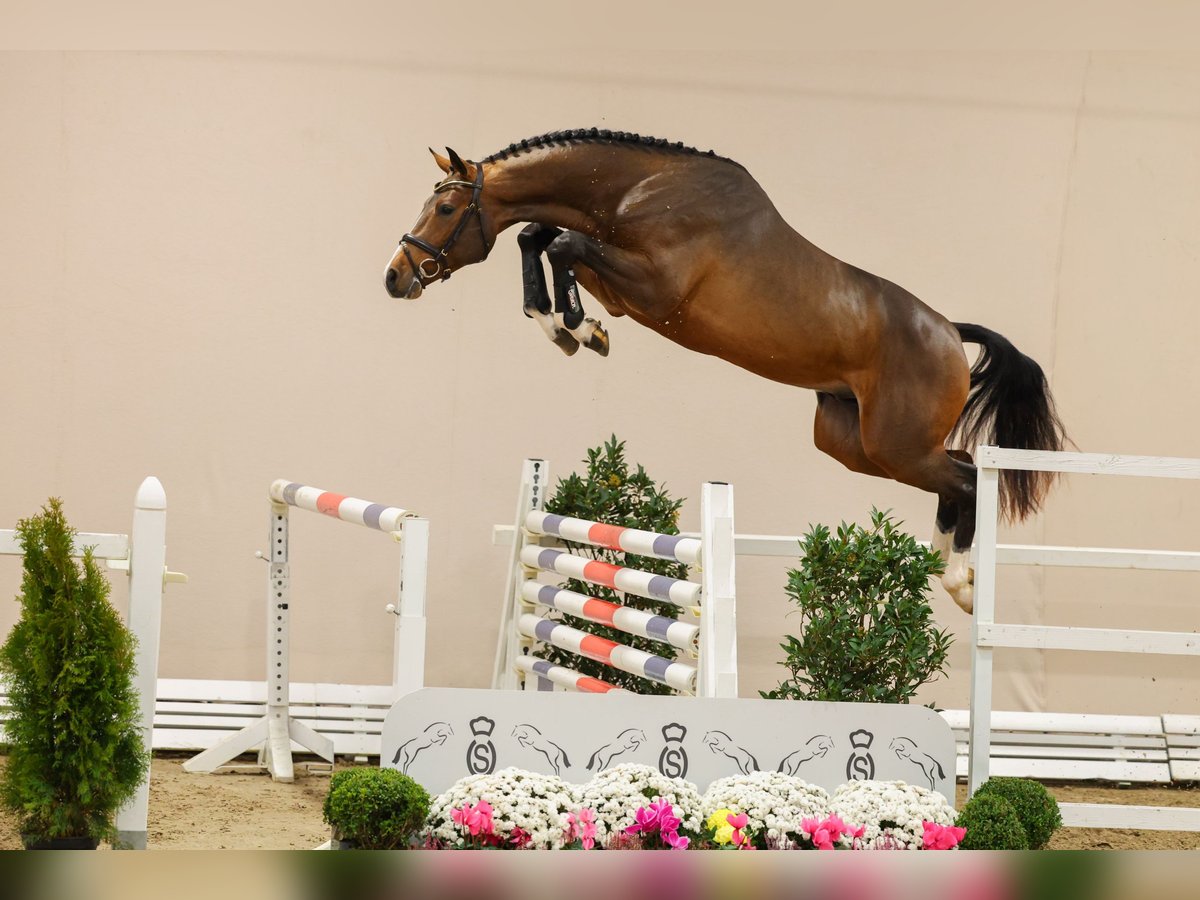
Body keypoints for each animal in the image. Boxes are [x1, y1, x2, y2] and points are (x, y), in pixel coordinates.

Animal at [384, 128, 1070, 614]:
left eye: (445, 208)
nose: (395, 277)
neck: (638, 192)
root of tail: (949, 332)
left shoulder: (652, 290)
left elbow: (560, 244)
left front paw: (578, 329)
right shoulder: (620, 279)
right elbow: (539, 236)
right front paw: (566, 327)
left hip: (894, 445)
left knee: (964, 479)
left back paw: (959, 582)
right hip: (854, 444)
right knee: (956, 471)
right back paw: (947, 569)